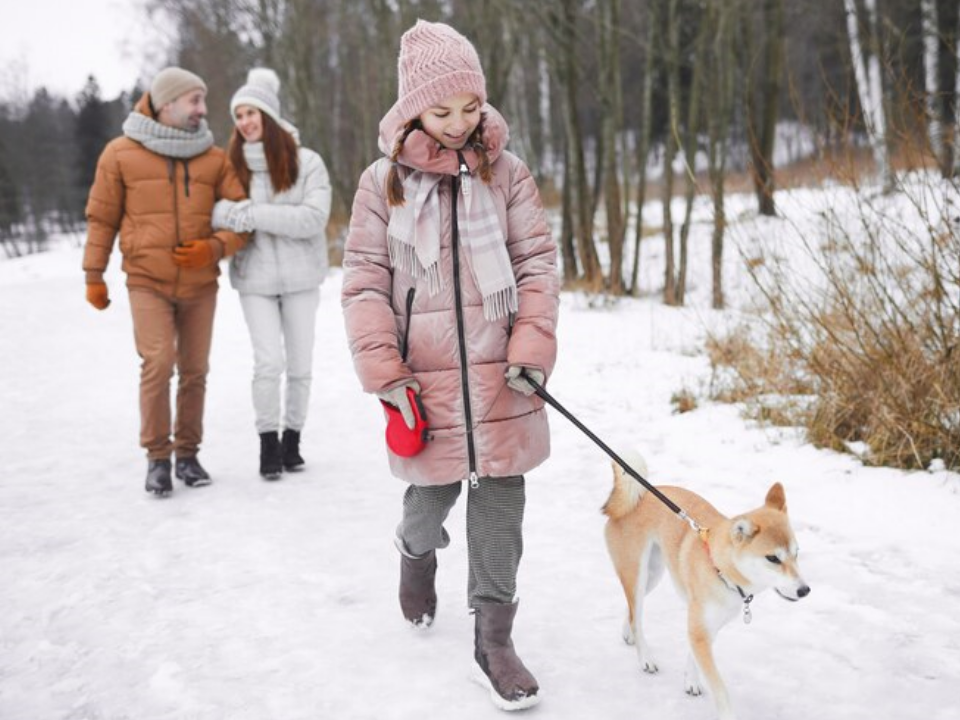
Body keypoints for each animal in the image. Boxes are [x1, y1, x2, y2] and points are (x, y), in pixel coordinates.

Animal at [604, 452, 808, 716]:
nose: (804, 590)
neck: (720, 569)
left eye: (796, 553)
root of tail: (637, 496)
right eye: (773, 558)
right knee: (637, 615)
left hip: (653, 574)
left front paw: (691, 681)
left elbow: (694, 658)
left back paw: (627, 632)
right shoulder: (700, 627)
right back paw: (645, 658)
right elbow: (719, 688)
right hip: (637, 573)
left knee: (630, 608)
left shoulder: (705, 627)